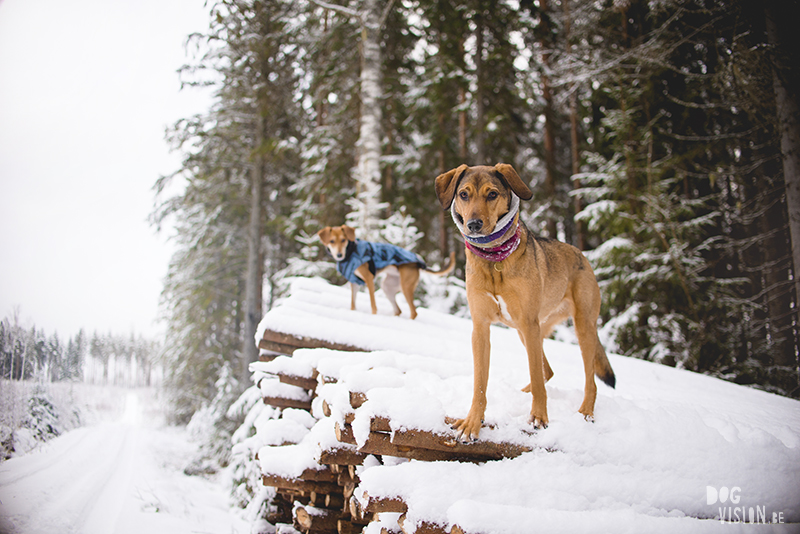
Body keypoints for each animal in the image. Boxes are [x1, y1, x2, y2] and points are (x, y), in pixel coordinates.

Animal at [318, 225, 456, 320]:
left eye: (343, 240)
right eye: (332, 241)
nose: (339, 255)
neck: (351, 252)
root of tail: (418, 263)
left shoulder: (369, 279)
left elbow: (373, 304)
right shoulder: (354, 283)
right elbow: (353, 303)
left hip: (405, 287)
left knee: (413, 312)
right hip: (387, 287)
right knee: (398, 310)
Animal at [434, 163, 616, 440]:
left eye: (492, 194)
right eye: (464, 194)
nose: (474, 225)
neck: (494, 260)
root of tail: (581, 255)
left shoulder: (530, 324)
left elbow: (538, 379)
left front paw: (539, 417)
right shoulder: (481, 327)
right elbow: (480, 383)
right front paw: (473, 422)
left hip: (580, 327)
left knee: (588, 380)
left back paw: (586, 411)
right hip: (529, 329)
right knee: (547, 370)